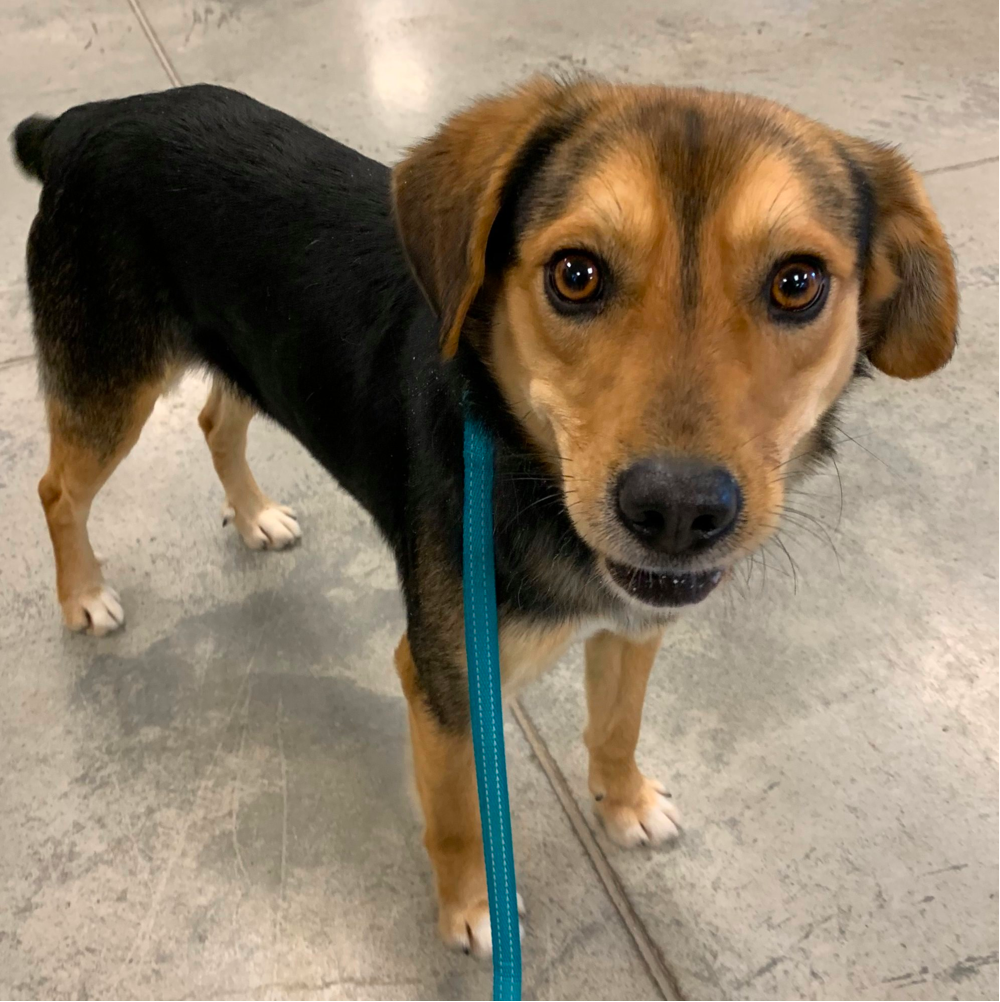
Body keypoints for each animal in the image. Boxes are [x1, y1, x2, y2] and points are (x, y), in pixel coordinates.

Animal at [11, 78, 957, 953]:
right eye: (575, 274)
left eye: (798, 284)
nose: (678, 511)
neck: (524, 467)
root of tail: (83, 120)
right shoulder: (445, 682)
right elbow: (461, 815)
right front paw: (476, 911)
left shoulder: (634, 625)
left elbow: (618, 726)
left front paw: (625, 803)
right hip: (110, 387)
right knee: (57, 491)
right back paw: (83, 595)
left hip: (243, 354)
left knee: (215, 418)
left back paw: (253, 516)